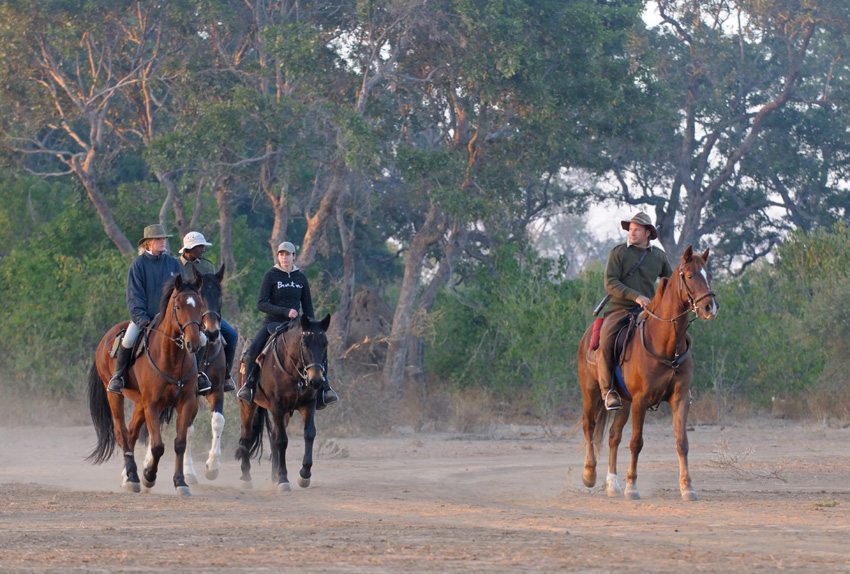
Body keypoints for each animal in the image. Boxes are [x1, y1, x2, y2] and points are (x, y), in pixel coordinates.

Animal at [87, 272, 205, 498]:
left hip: (139, 403)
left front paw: (180, 482)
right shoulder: (152, 405)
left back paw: (127, 476)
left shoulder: (186, 403)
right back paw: (133, 477)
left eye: (200, 305)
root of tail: (105, 339)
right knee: (122, 433)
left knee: (131, 434)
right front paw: (149, 476)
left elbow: (180, 443)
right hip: (115, 395)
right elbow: (158, 446)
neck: (172, 358)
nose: (193, 343)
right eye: (178, 307)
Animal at [238, 312, 334, 492]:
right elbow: (282, 440)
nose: (316, 380)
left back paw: (273, 476)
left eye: (325, 344)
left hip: (285, 414)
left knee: (273, 438)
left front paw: (304, 475)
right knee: (246, 436)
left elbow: (309, 434)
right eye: (305, 343)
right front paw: (283, 478)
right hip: (248, 406)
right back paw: (246, 477)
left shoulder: (308, 404)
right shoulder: (277, 406)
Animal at [576, 248, 716, 504]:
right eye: (690, 275)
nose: (710, 307)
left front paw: (687, 487)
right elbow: (636, 443)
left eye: (708, 274)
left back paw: (612, 484)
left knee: (613, 436)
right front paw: (632, 487)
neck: (666, 344)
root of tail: (587, 336)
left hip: (623, 402)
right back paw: (589, 474)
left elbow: (682, 442)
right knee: (589, 427)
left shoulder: (680, 399)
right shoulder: (641, 401)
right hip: (591, 393)